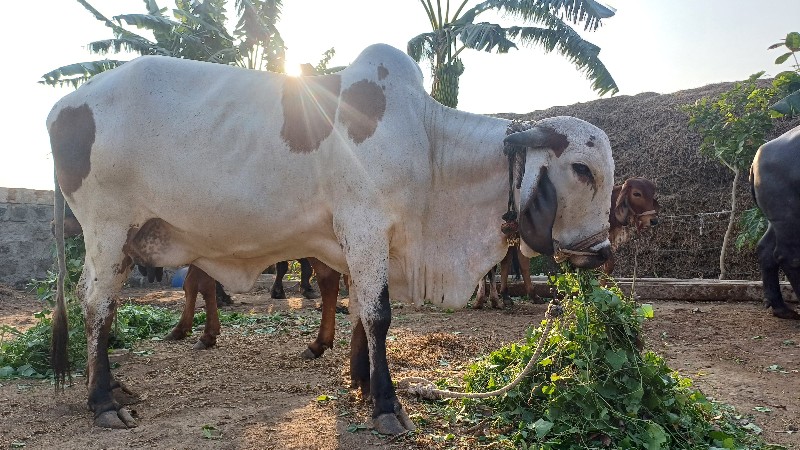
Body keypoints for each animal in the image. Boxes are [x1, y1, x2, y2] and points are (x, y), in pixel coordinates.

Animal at [48, 44, 612, 434]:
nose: (603, 251)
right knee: (96, 305)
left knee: (102, 300)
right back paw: (103, 404)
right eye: (582, 169)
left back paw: (115, 387)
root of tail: (64, 106)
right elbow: (379, 315)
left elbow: (359, 310)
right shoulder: (365, 227)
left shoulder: (360, 241)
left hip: (126, 240)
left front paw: (360, 380)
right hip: (106, 228)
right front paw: (386, 406)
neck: (430, 148)